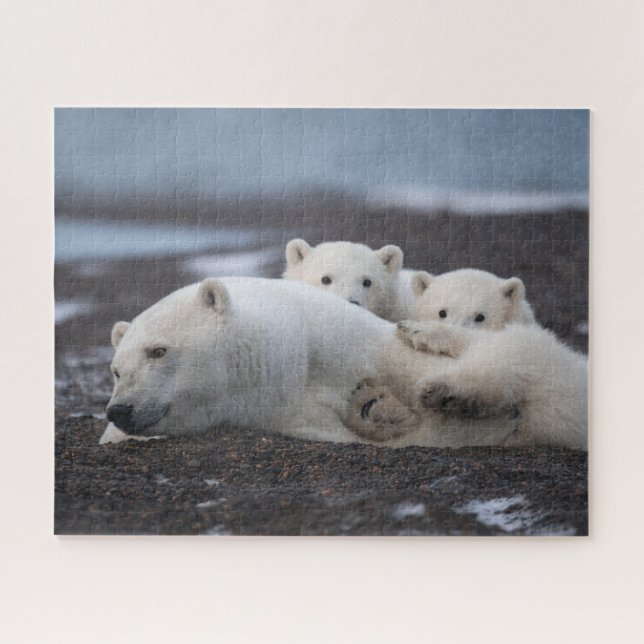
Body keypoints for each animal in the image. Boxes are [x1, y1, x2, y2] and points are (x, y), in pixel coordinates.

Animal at [100, 277, 524, 448]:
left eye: (158, 351)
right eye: (116, 370)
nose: (119, 409)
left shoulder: (338, 336)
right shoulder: (283, 412)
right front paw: (376, 410)